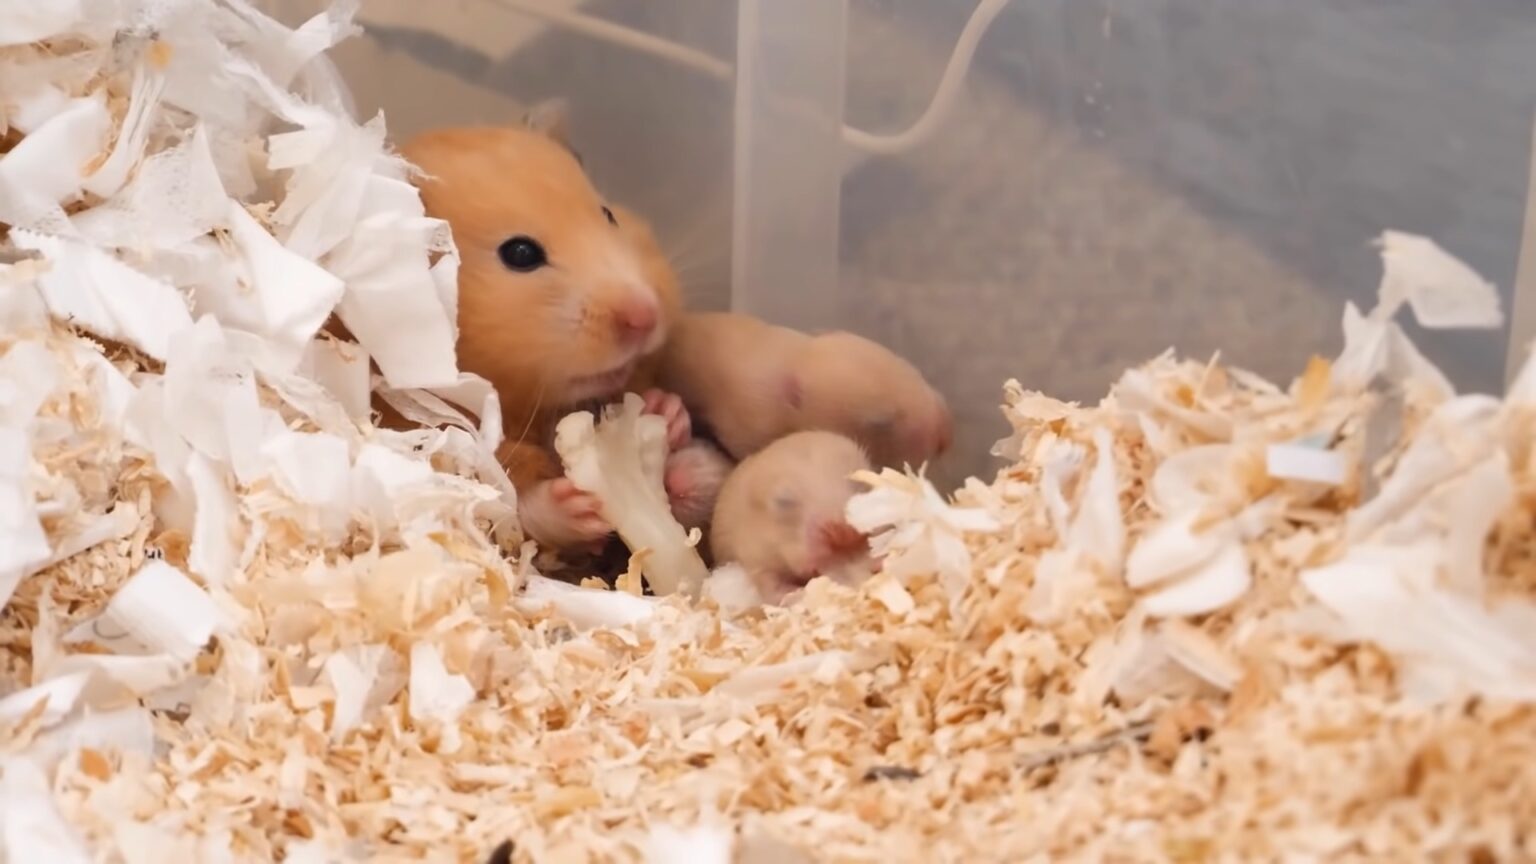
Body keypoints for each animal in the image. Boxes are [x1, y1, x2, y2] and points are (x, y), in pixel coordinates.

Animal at [398, 108, 691, 551]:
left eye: (609, 214)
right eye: (520, 254)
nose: (647, 316)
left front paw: (666, 410)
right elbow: (515, 507)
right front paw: (581, 507)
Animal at [709, 430, 877, 605]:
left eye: (860, 483)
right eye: (783, 502)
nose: (841, 530)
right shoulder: (754, 556)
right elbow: (771, 586)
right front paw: (796, 593)